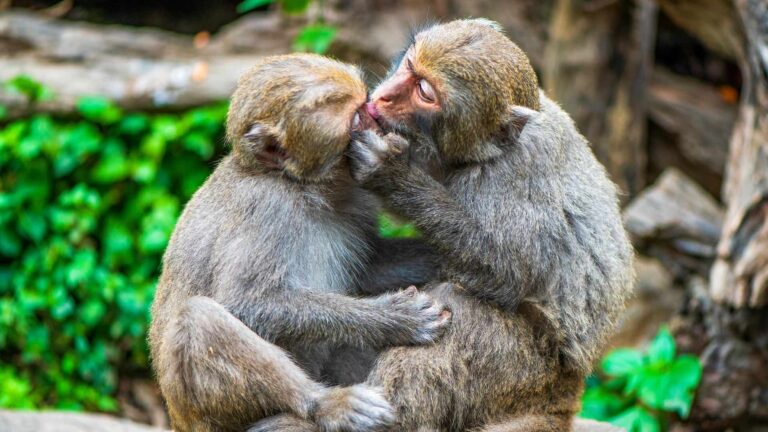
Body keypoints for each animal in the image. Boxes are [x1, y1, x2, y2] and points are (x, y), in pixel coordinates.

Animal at [148, 53, 452, 432]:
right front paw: (395, 319)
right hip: (205, 413)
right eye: (353, 116)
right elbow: (249, 301)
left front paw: (446, 256)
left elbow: (370, 268)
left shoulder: (356, 200)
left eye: (364, 106)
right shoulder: (268, 207)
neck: (303, 186)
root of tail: (177, 419)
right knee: (198, 319)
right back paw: (326, 405)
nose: (373, 115)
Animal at [251, 18, 634, 432]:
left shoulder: (519, 168)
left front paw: (393, 175)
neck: (478, 155)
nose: (383, 97)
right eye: (409, 66)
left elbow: (510, 274)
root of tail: (568, 392)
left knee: (461, 305)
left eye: (424, 92)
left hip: (527, 368)